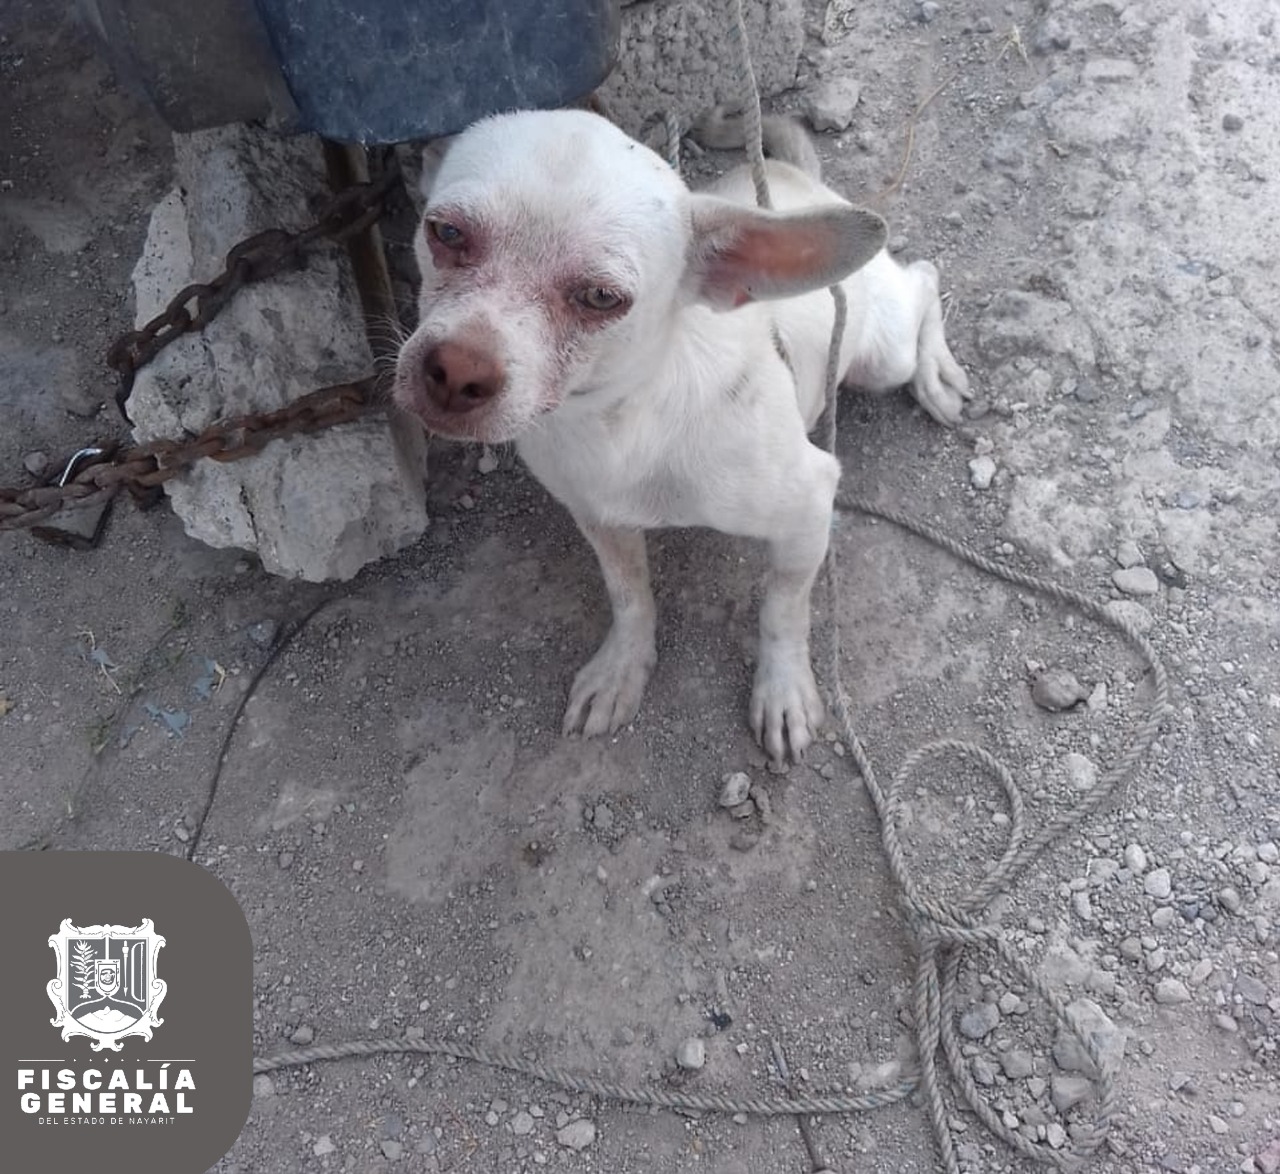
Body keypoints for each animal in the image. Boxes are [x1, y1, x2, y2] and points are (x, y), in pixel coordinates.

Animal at [393, 107, 970, 763]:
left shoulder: (809, 507)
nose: (457, 371)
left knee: (923, 278)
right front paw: (622, 669)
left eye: (601, 297)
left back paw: (936, 374)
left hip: (882, 357)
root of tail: (801, 182)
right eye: (445, 233)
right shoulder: (600, 518)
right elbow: (630, 598)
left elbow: (783, 610)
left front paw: (784, 690)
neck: (618, 424)